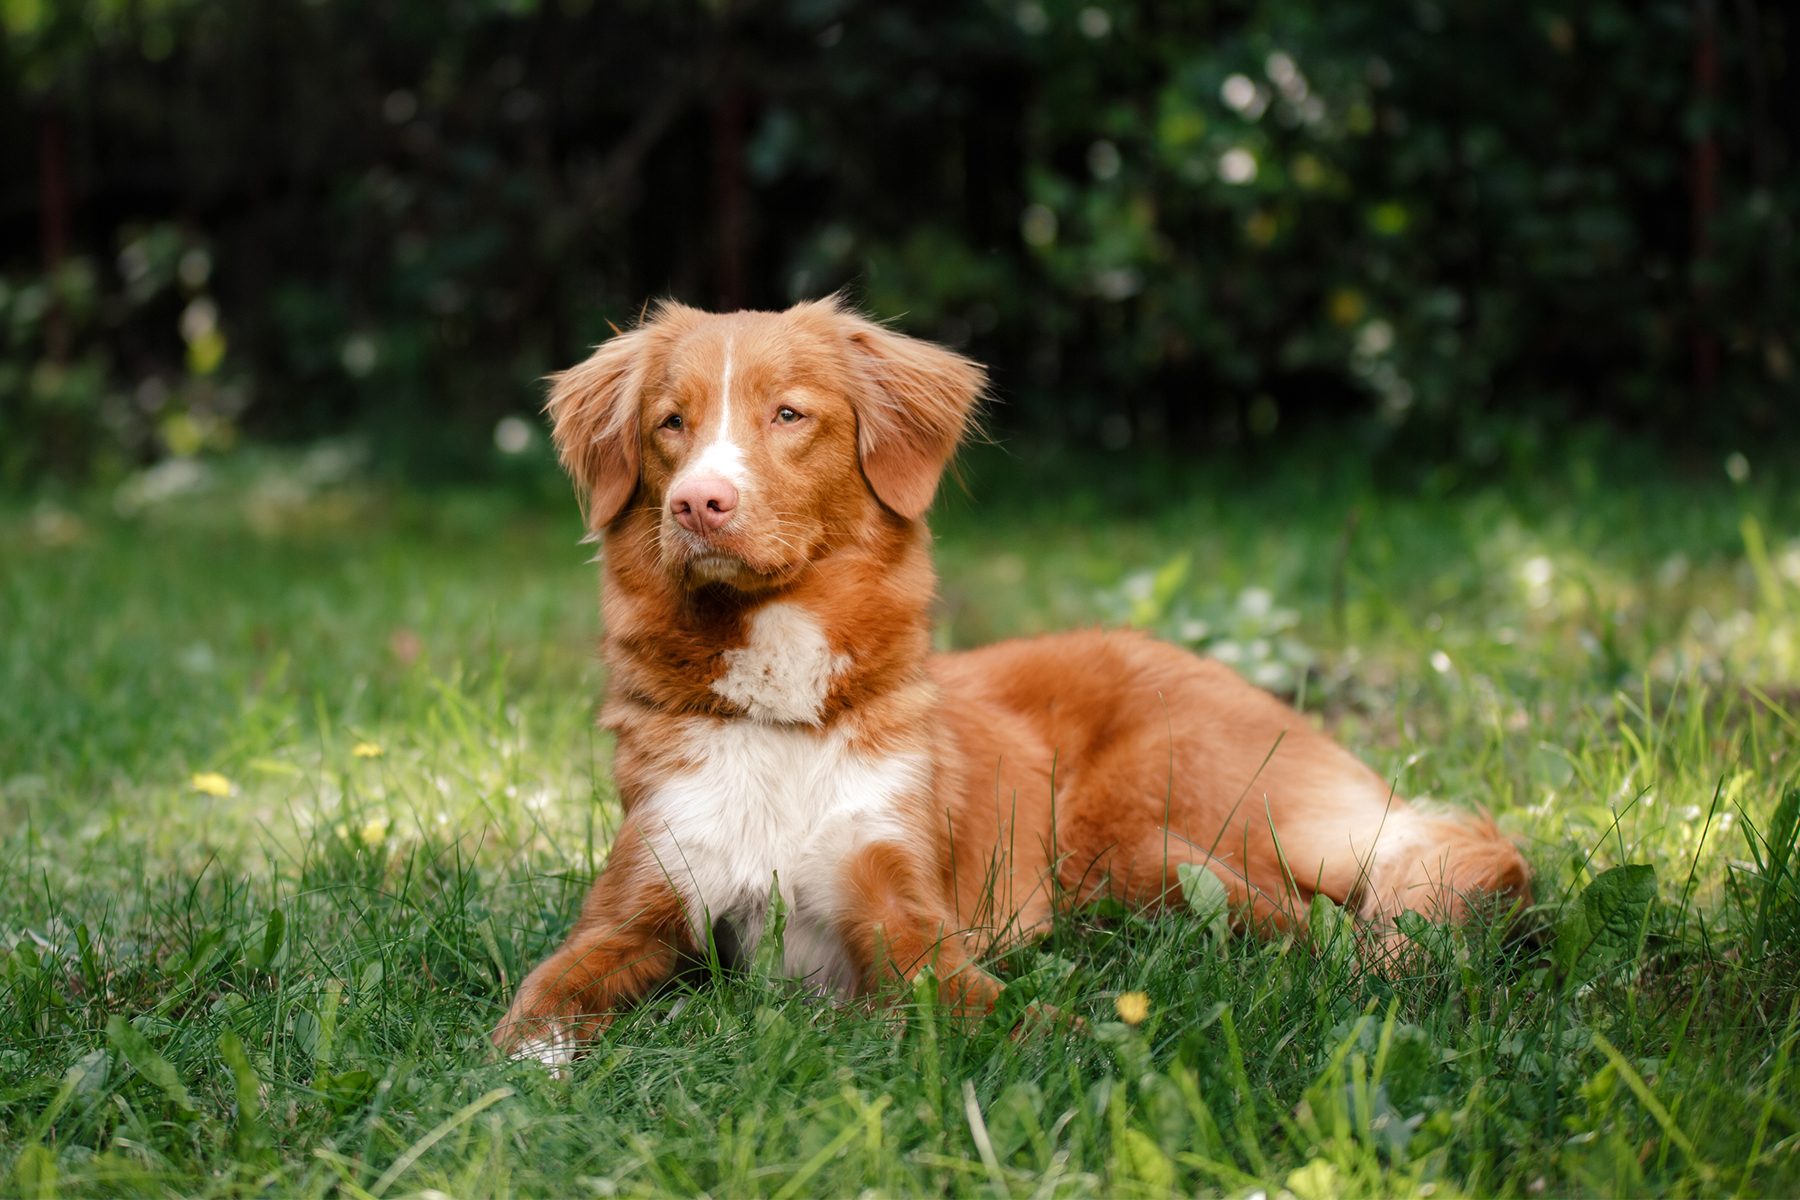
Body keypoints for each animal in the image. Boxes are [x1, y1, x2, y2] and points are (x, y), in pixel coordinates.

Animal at [496, 295, 1533, 1065]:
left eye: (788, 414)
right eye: (670, 425)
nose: (696, 504)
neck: (781, 714)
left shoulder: (901, 906)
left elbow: (981, 1003)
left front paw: (1081, 1044)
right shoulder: (637, 907)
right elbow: (547, 989)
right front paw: (523, 1068)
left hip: (1145, 832)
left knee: (1384, 887)